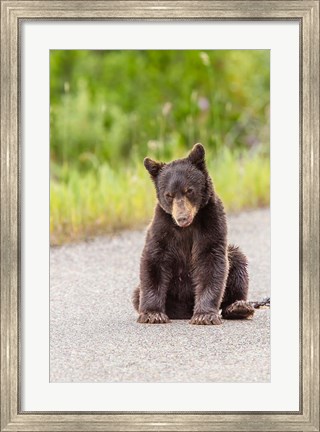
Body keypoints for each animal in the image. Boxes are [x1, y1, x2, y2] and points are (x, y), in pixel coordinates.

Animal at [131, 144, 254, 324]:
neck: (186, 228)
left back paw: (238, 307)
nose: (182, 217)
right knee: (137, 293)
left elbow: (211, 261)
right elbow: (154, 260)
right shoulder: (162, 228)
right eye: (169, 195)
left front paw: (204, 315)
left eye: (189, 190)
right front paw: (152, 314)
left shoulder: (211, 223)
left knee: (237, 264)